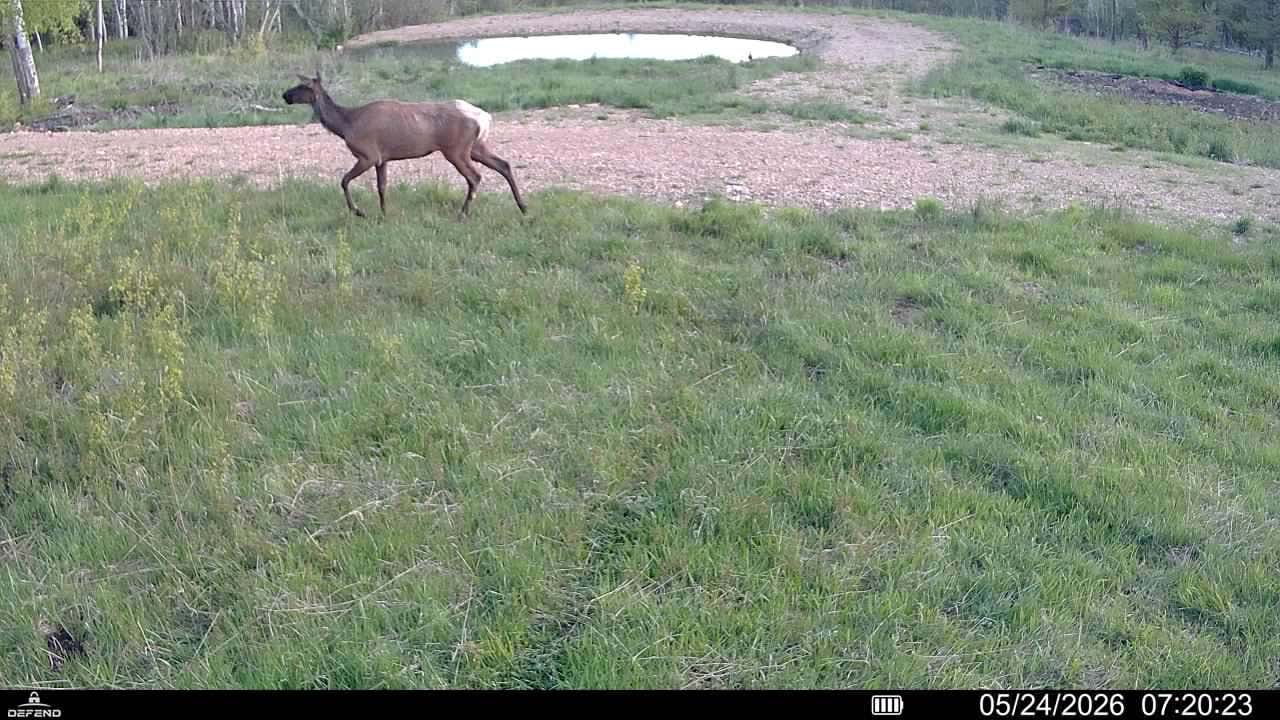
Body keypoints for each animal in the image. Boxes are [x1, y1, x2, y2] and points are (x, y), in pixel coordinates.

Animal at [282, 73, 528, 219]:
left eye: (302, 86)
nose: (285, 95)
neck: (345, 125)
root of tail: (485, 117)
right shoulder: (382, 159)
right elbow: (382, 187)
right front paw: (384, 214)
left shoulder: (368, 155)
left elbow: (343, 180)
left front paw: (358, 211)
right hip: (475, 147)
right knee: (504, 164)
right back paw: (523, 206)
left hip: (456, 150)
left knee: (475, 177)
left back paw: (462, 213)